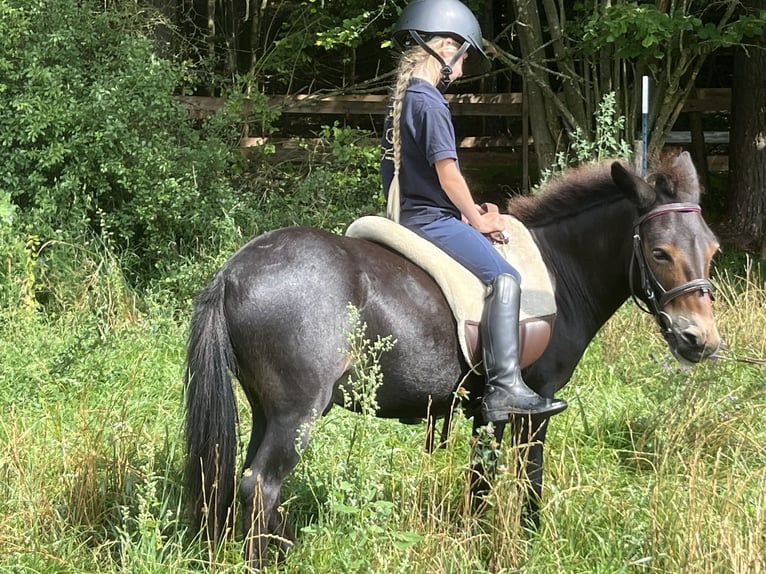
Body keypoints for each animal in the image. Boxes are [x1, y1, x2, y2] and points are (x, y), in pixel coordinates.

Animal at [183, 151, 724, 568]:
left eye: (713, 249)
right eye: (660, 252)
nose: (700, 339)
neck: (558, 269)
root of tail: (232, 273)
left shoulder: (487, 411)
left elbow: (480, 479)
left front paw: (474, 539)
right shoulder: (536, 406)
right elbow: (529, 479)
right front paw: (527, 542)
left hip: (267, 411)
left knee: (241, 479)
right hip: (298, 414)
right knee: (262, 486)